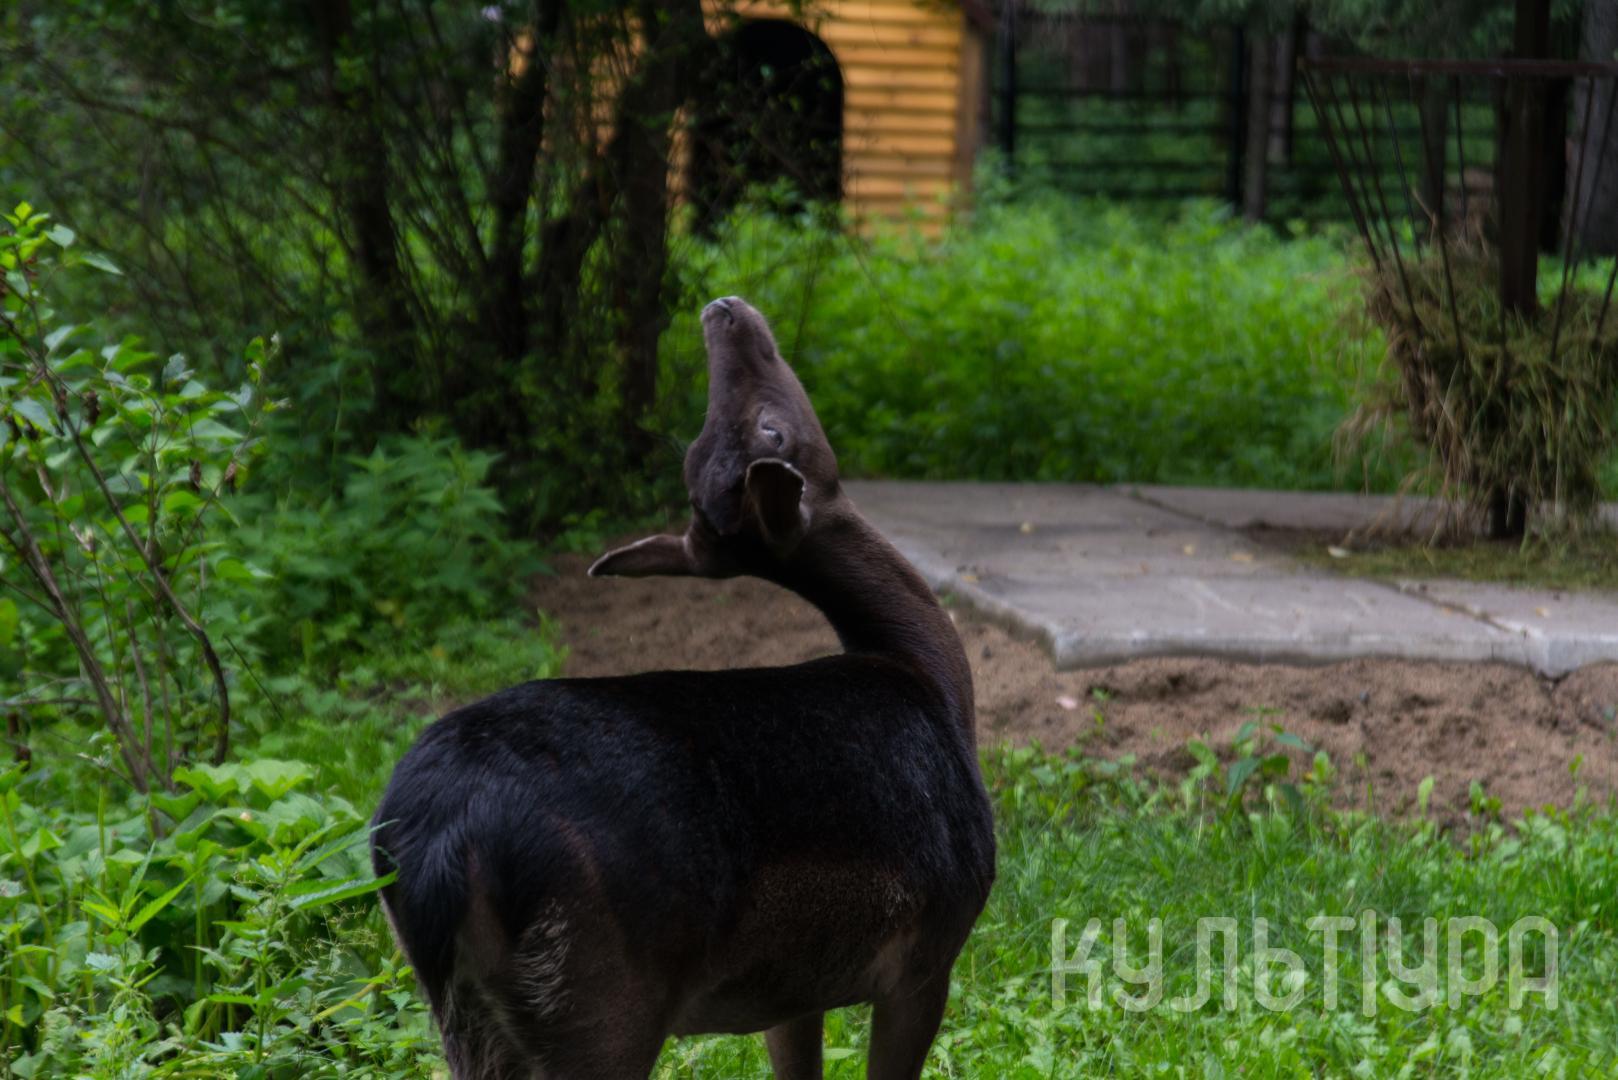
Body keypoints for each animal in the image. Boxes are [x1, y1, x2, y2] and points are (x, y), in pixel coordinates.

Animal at [371, 296, 996, 1079]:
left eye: (699, 449)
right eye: (772, 428)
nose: (724, 309)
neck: (931, 678)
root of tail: (438, 848)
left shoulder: (791, 986)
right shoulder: (930, 949)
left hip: (467, 1015)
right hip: (601, 993)